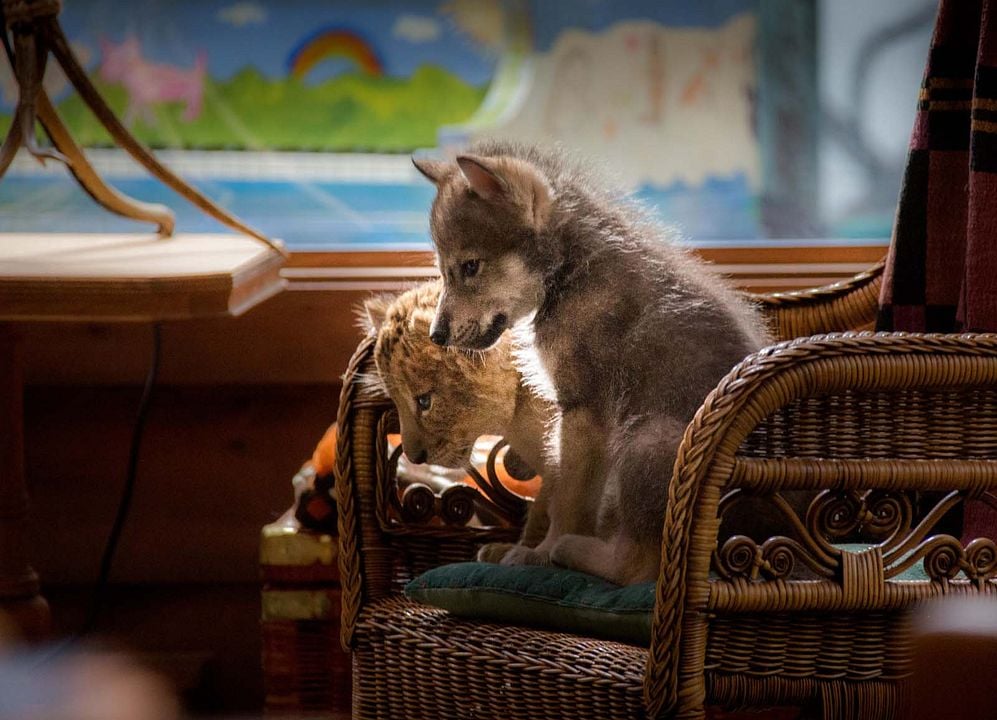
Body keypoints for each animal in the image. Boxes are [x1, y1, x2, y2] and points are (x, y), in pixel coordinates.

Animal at [413, 142, 770, 585]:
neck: (569, 274)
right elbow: (554, 494)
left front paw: (538, 554)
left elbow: (567, 502)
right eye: (443, 271)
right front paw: (514, 550)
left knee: (638, 567)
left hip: (645, 440)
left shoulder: (583, 414)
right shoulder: (566, 421)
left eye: (470, 266)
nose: (436, 336)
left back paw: (572, 551)